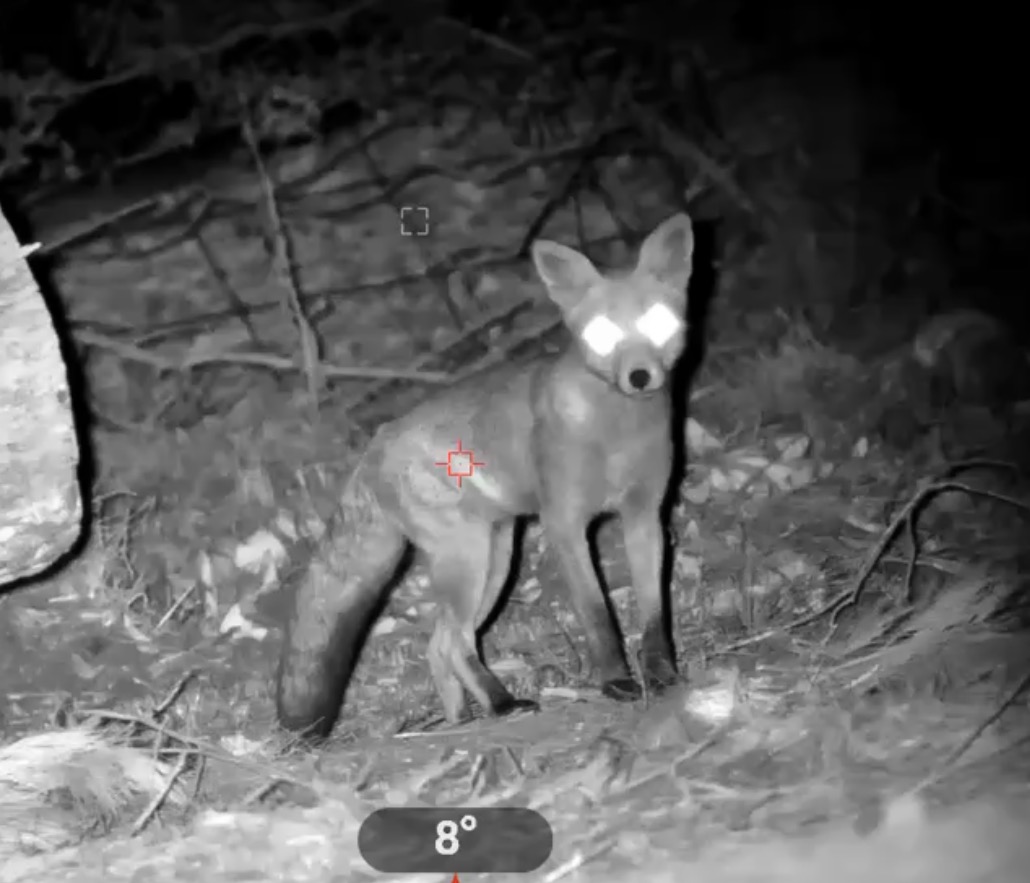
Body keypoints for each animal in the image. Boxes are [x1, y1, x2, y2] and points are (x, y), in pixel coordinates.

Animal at [276, 212, 696, 739]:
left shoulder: (644, 516)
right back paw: (501, 704)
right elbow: (597, 616)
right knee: (454, 642)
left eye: (658, 323)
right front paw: (616, 683)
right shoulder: (565, 524)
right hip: (470, 559)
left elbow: (654, 612)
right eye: (601, 334)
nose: (639, 377)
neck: (615, 437)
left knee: (440, 644)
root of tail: (374, 445)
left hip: (495, 559)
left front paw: (661, 675)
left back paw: (464, 718)